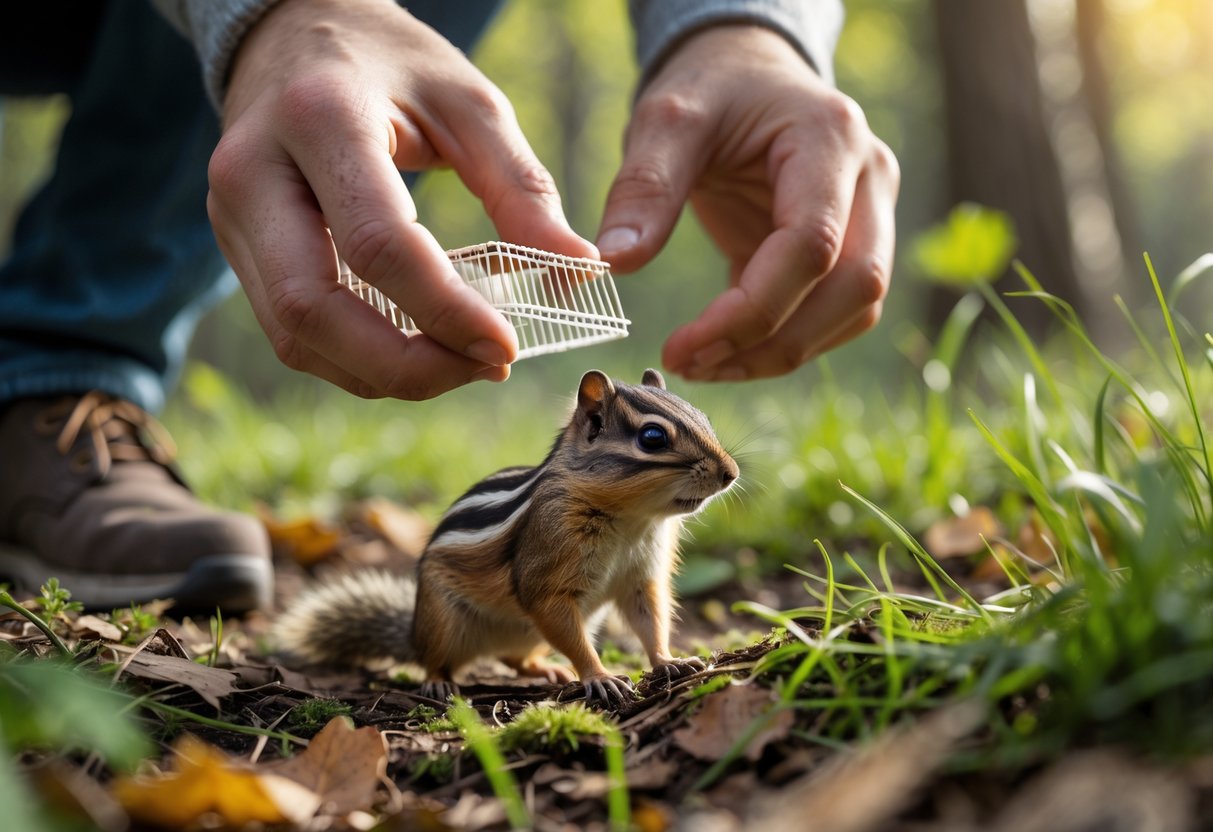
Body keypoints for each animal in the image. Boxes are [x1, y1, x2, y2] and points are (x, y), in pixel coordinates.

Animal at [273, 369, 739, 706]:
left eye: (704, 417)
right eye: (653, 437)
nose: (730, 473)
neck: (633, 520)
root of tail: (413, 633)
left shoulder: (641, 577)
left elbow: (650, 620)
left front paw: (669, 660)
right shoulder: (548, 572)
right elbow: (558, 617)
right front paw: (600, 676)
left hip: (535, 633)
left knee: (514, 658)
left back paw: (548, 670)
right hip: (443, 619)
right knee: (435, 659)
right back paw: (439, 682)